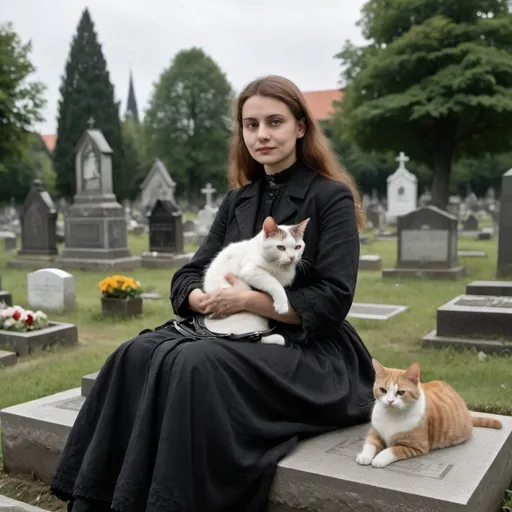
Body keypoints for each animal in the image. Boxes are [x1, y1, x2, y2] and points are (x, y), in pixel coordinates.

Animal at [203, 214, 308, 346]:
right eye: (280, 247)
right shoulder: (250, 270)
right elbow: (274, 283)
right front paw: (282, 305)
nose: (292, 257)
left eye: (298, 247)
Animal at [356, 360, 500, 468]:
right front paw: (364, 456)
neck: (392, 416)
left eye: (401, 392)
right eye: (383, 390)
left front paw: (379, 458)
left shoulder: (415, 446)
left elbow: (392, 450)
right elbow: (369, 443)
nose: (390, 401)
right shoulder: (375, 432)